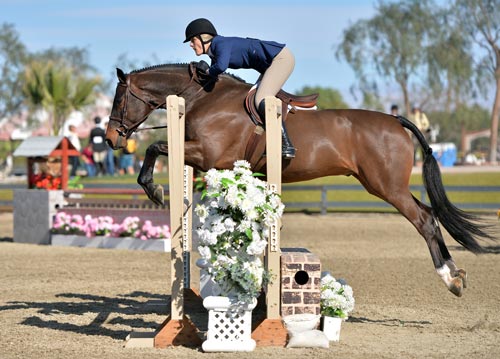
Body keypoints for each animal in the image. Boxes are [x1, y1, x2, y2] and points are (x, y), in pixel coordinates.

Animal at [105, 62, 492, 298]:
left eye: (119, 99)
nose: (109, 139)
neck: (203, 97)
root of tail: (396, 121)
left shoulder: (207, 155)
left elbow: (154, 147)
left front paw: (154, 189)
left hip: (387, 187)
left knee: (426, 219)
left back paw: (450, 278)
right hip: (383, 185)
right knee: (431, 215)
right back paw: (456, 274)